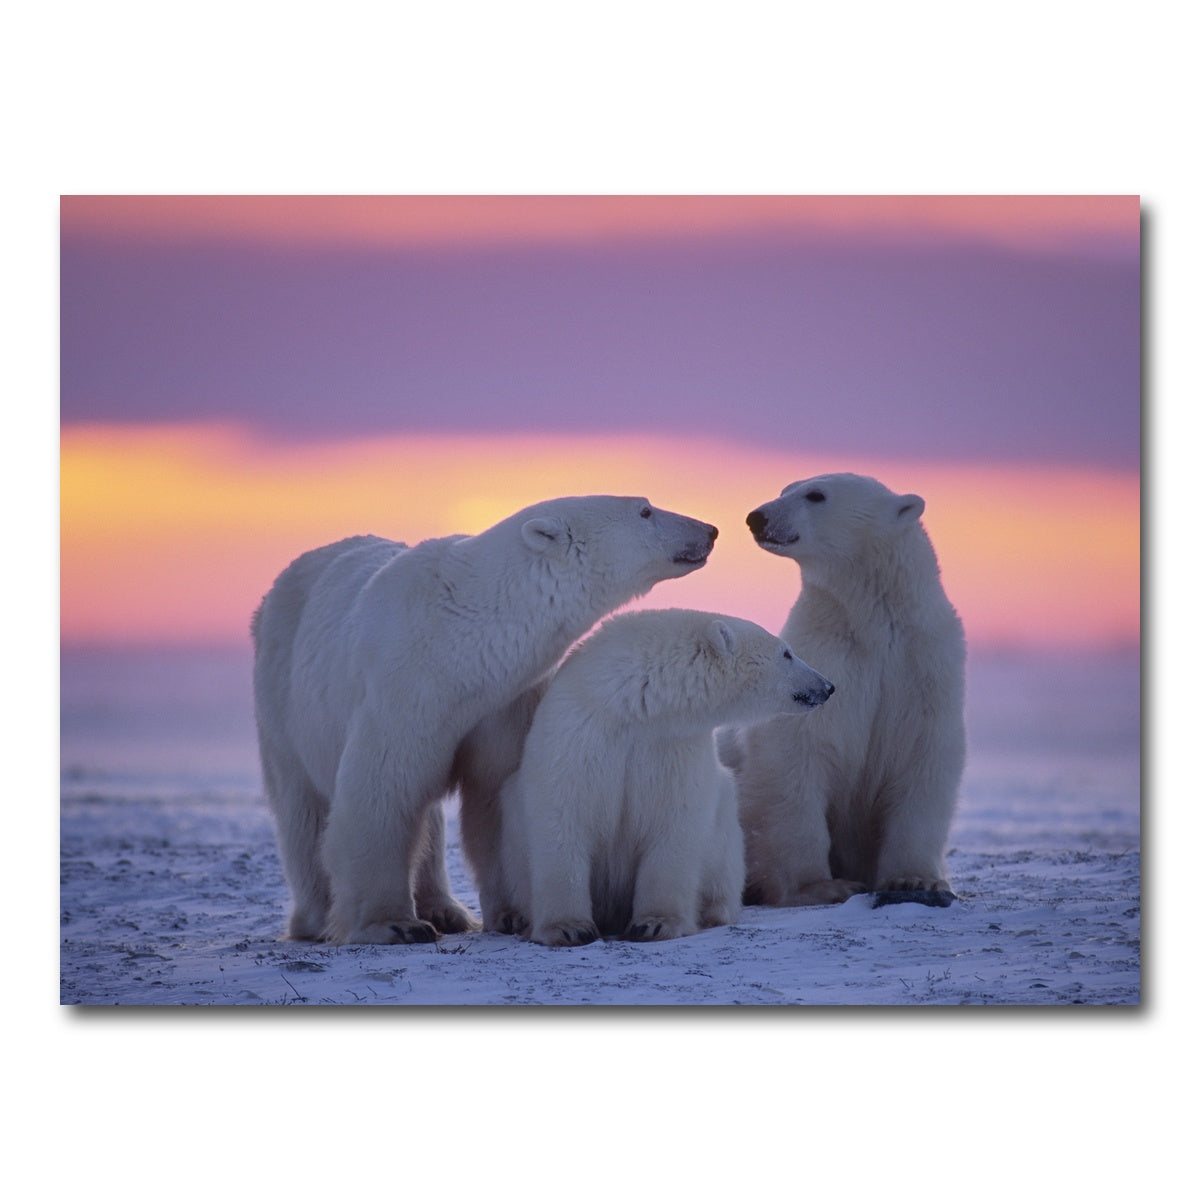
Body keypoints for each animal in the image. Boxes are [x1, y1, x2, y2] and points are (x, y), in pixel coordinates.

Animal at [251, 495, 718, 945]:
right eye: (645, 510)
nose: (710, 529)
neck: (461, 640)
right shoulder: (402, 690)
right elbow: (382, 791)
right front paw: (394, 925)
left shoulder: (504, 702)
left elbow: (496, 794)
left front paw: (513, 914)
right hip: (282, 696)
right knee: (303, 809)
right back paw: (316, 919)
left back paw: (446, 910)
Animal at [479, 608, 835, 947]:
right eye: (787, 653)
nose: (827, 686)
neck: (635, 707)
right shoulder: (580, 733)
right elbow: (563, 817)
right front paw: (568, 929)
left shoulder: (672, 746)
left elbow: (674, 823)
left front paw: (654, 924)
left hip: (724, 831)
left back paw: (712, 911)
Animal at [722, 472, 966, 907]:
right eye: (785, 489)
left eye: (816, 495)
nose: (757, 517)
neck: (874, 625)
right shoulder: (826, 660)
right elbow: (796, 756)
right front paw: (822, 885)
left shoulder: (924, 667)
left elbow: (925, 759)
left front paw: (916, 880)